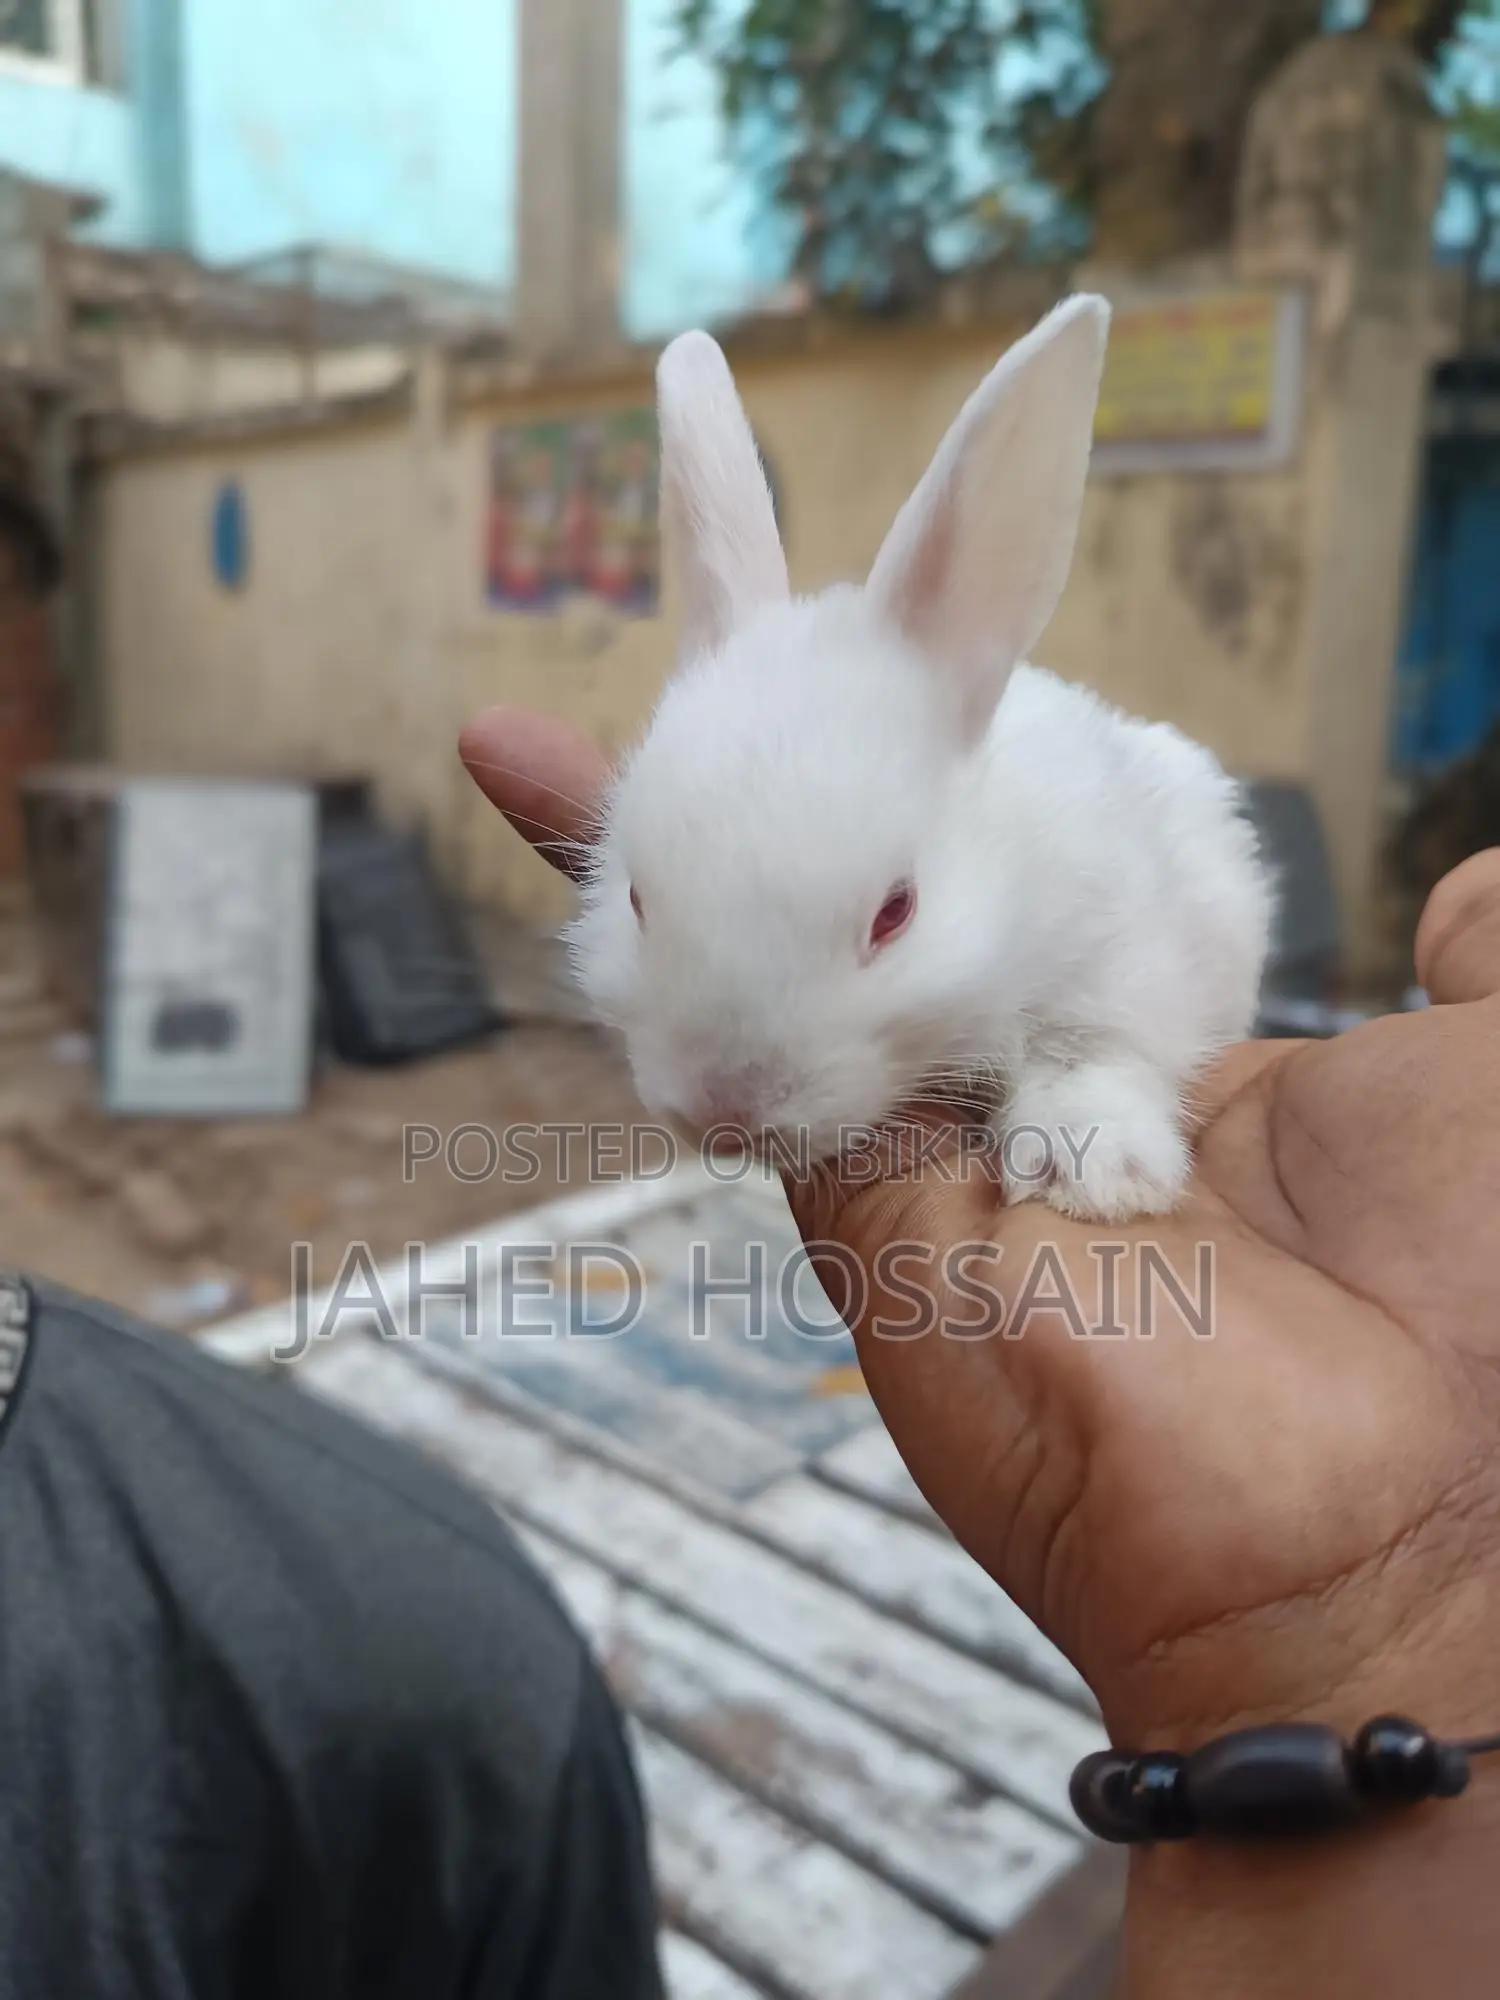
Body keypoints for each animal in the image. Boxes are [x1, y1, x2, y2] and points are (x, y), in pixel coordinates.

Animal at [566, 295, 1274, 1222]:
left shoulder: (1127, 955)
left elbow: (1092, 1049)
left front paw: (1093, 1175)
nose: (728, 1112)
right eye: (638, 901)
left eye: (896, 913)